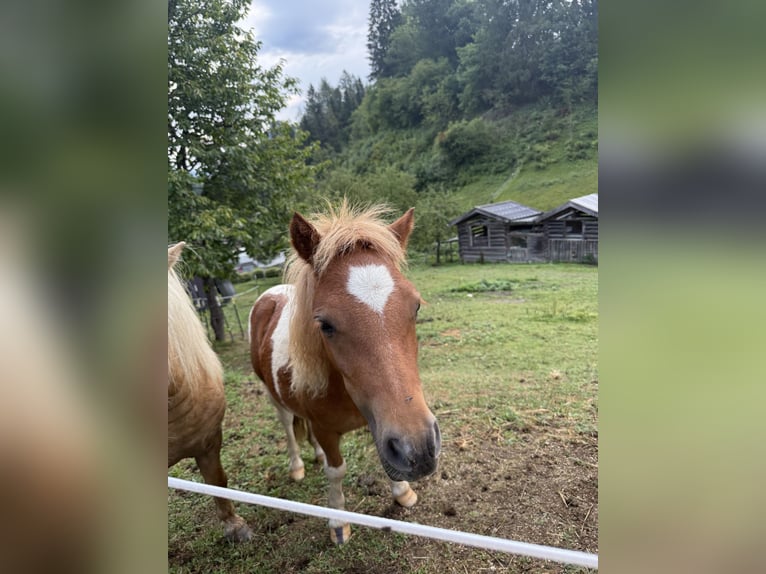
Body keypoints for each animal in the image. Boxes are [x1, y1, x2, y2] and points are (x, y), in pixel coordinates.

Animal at [249, 203, 441, 544]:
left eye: (416, 307)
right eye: (324, 324)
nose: (418, 449)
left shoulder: (380, 420)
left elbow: (381, 455)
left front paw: (402, 492)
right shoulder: (329, 429)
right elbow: (336, 471)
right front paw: (338, 523)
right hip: (273, 395)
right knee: (287, 425)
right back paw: (297, 466)